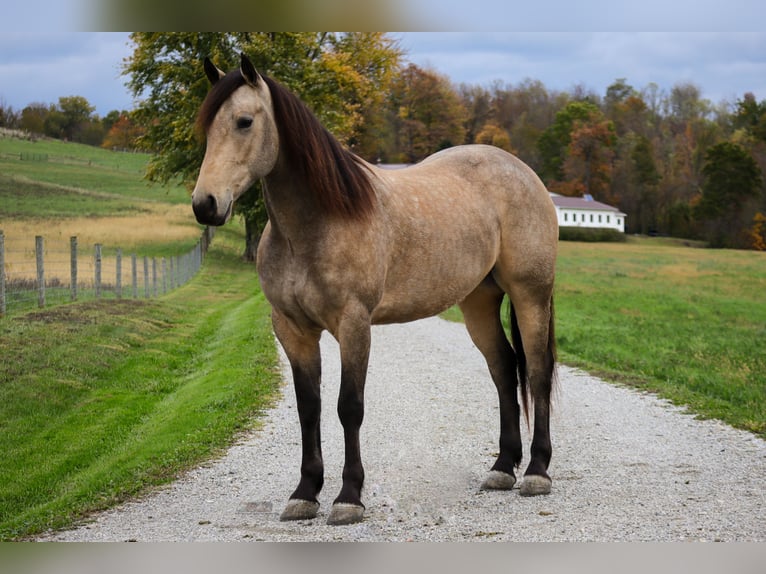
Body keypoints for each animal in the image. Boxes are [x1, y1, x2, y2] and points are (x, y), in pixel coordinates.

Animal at [192, 54, 558, 526]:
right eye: (207, 127)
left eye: (243, 121)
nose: (205, 204)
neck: (315, 226)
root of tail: (526, 174)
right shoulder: (292, 329)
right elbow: (308, 408)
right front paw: (305, 493)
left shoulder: (353, 324)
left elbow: (349, 407)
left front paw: (349, 496)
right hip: (479, 301)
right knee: (503, 368)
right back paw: (501, 468)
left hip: (531, 294)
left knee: (536, 370)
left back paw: (536, 471)